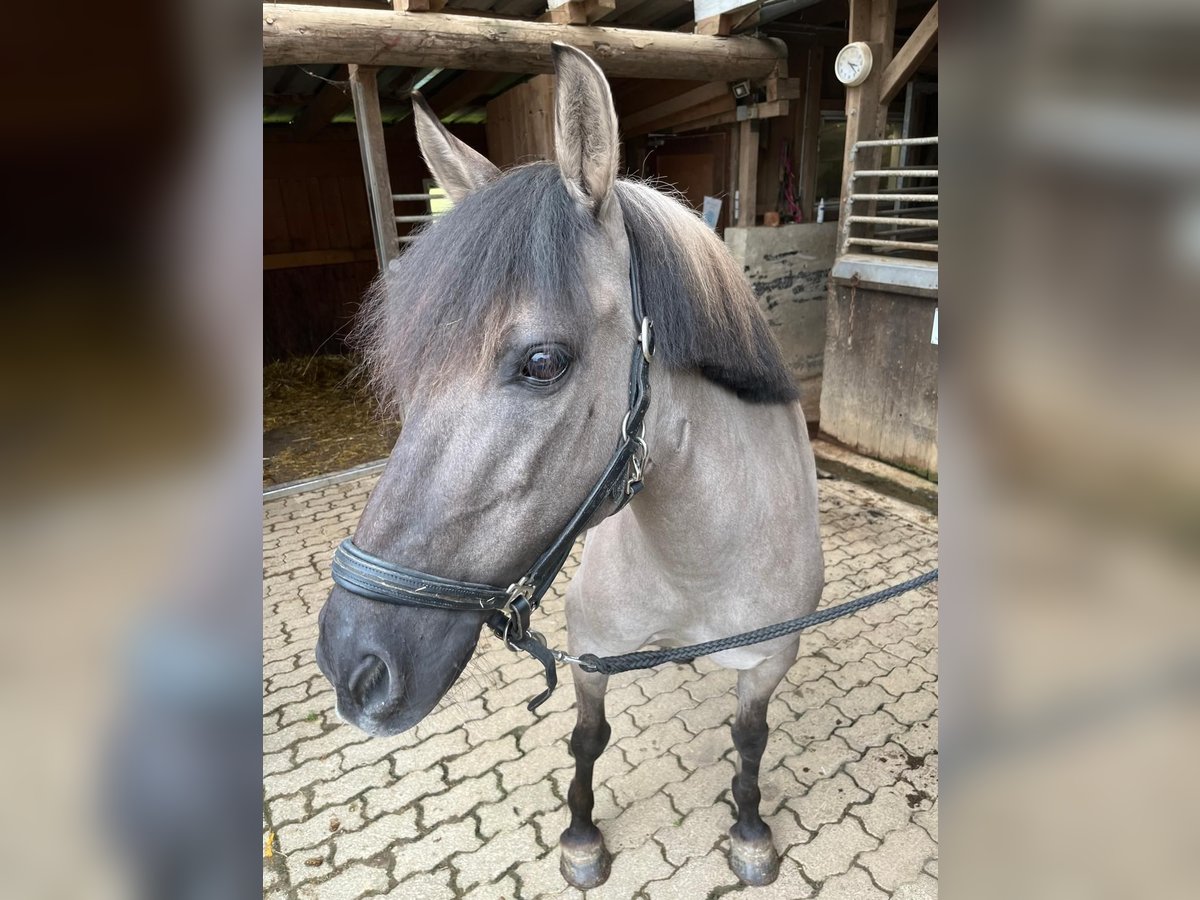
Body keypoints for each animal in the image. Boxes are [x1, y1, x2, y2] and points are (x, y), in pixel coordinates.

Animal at [319, 40, 825, 888]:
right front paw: (582, 838)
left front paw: (751, 829)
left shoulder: (767, 664)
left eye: (543, 363)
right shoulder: (591, 656)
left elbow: (750, 740)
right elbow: (587, 741)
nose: (352, 665)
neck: (695, 558)